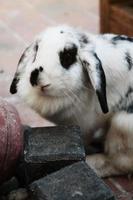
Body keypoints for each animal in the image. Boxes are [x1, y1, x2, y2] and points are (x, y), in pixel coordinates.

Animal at [10, 25, 133, 177]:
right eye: (37, 49)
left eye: (68, 56)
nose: (35, 76)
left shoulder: (85, 126)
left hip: (122, 125)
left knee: (119, 162)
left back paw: (92, 162)